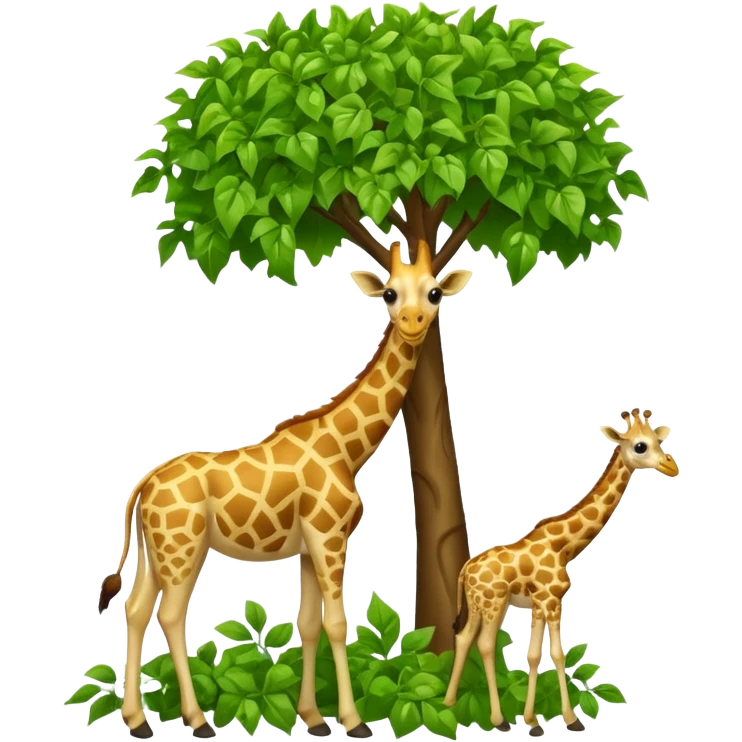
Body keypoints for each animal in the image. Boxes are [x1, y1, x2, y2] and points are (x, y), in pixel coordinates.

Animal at [97, 239, 473, 740]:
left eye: (434, 293)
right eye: (390, 293)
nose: (413, 324)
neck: (346, 448)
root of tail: (142, 485)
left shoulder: (312, 547)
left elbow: (309, 624)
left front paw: (313, 718)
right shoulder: (330, 536)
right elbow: (337, 623)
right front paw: (353, 721)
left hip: (158, 551)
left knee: (136, 609)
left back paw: (137, 720)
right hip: (183, 549)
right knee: (171, 615)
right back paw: (197, 720)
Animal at [443, 408, 679, 736]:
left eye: (660, 440)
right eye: (640, 446)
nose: (672, 466)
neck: (564, 547)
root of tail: (465, 570)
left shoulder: (542, 604)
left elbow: (534, 655)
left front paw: (533, 721)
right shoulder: (551, 600)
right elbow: (555, 653)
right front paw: (570, 719)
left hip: (482, 604)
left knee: (465, 638)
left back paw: (449, 703)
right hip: (493, 603)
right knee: (485, 644)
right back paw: (498, 719)